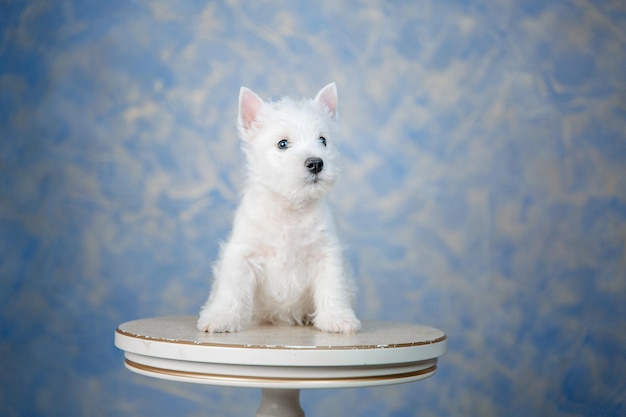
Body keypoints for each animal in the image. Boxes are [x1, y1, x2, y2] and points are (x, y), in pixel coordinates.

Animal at [195, 83, 360, 334]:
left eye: (323, 140)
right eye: (282, 143)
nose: (316, 163)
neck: (289, 206)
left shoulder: (326, 253)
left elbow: (332, 288)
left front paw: (337, 318)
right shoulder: (243, 253)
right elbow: (231, 289)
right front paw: (221, 318)